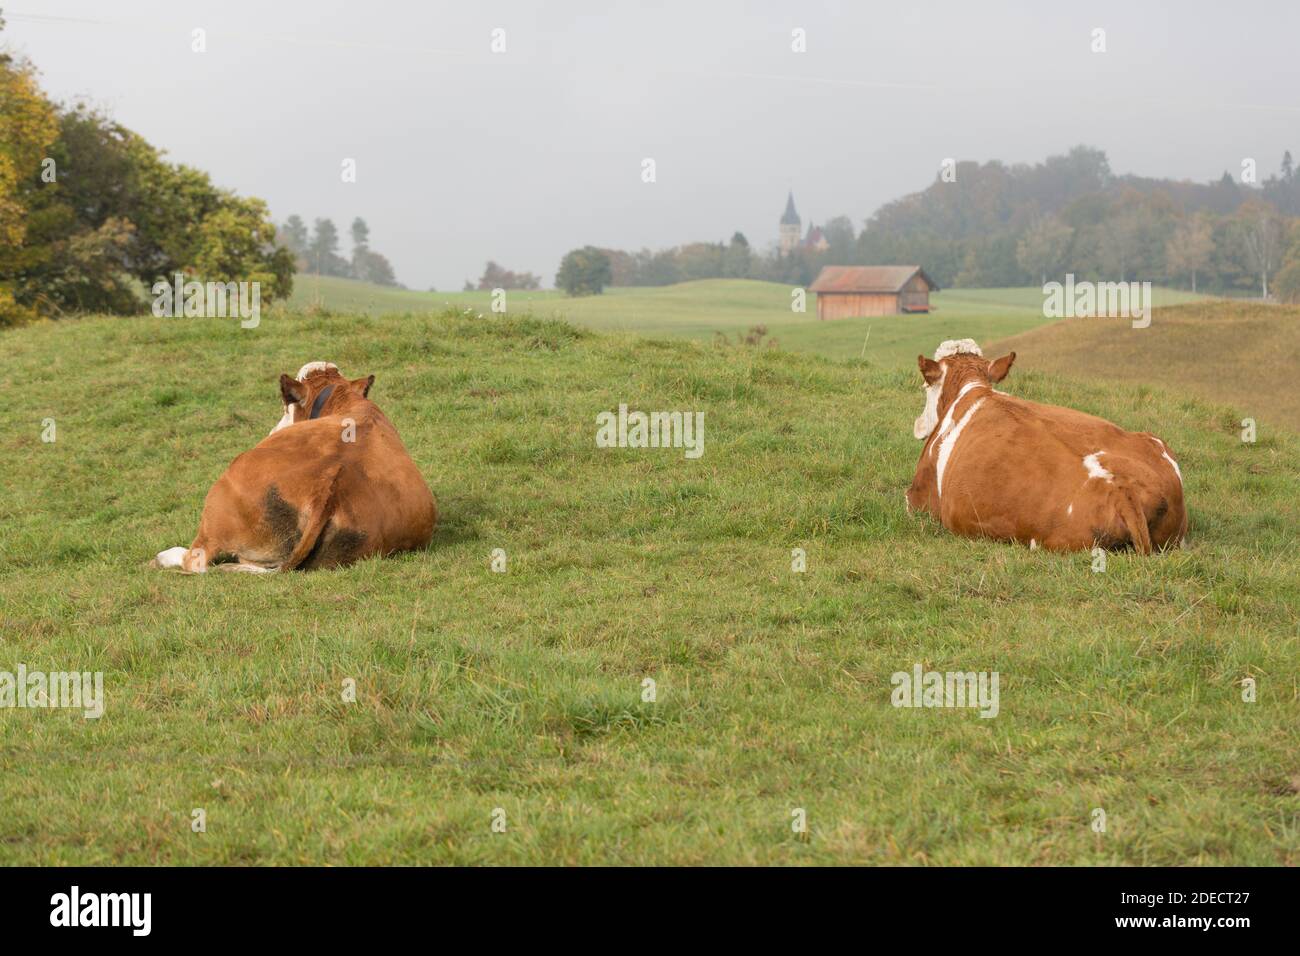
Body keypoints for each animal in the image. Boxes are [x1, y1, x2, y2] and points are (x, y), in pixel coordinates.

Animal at [152, 364, 436, 574]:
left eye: (285, 404)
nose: (273, 430)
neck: (345, 402)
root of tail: (328, 490)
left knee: (197, 560)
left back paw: (165, 556)